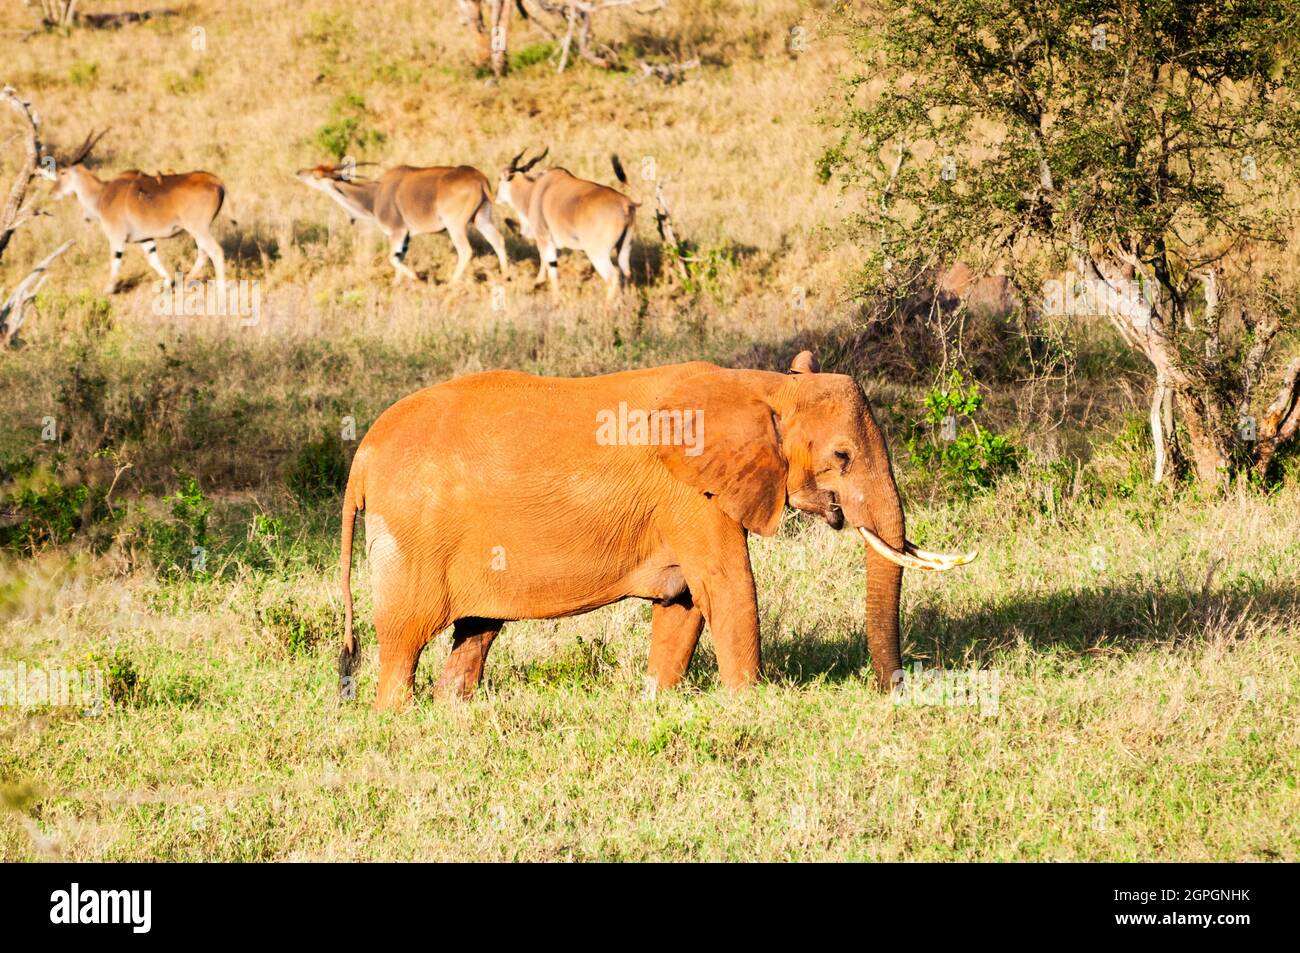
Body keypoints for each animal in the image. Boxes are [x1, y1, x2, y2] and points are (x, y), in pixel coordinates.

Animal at [48, 130, 230, 293]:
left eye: (62, 172)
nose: (52, 192)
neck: (102, 193)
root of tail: (217, 182)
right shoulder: (146, 239)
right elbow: (153, 260)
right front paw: (168, 282)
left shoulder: (117, 238)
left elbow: (115, 262)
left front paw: (108, 289)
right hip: (198, 231)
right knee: (203, 253)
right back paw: (184, 283)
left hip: (198, 229)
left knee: (215, 251)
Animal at [299, 161, 506, 286]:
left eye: (316, 175)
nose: (299, 172)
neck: (374, 195)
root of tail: (479, 178)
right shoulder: (405, 236)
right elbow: (399, 258)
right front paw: (397, 285)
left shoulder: (396, 231)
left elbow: (392, 257)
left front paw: (416, 277)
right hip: (481, 219)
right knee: (498, 240)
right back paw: (505, 275)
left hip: (455, 225)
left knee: (465, 251)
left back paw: (452, 284)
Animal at [340, 348, 972, 707]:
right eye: (841, 456)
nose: (892, 692)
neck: (761, 386)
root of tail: (363, 455)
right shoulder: (689, 493)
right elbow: (728, 588)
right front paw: (752, 705)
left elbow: (684, 602)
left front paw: (657, 703)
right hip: (412, 535)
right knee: (404, 638)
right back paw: (397, 719)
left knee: (477, 631)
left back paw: (453, 713)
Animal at [493, 148, 637, 299]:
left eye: (499, 179)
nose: (496, 197)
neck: (534, 190)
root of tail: (626, 203)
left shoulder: (543, 237)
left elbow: (549, 264)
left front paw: (550, 294)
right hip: (624, 249)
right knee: (625, 274)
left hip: (597, 253)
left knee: (612, 277)